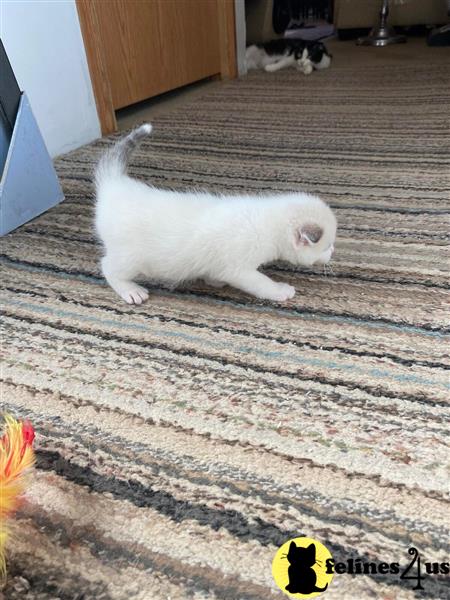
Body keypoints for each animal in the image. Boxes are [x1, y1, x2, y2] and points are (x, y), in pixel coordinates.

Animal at [95, 125, 336, 304]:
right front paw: (280, 290)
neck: (268, 222)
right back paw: (130, 290)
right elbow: (261, 283)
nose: (333, 251)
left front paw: (213, 281)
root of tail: (115, 184)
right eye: (327, 246)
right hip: (131, 257)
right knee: (108, 266)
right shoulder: (239, 268)